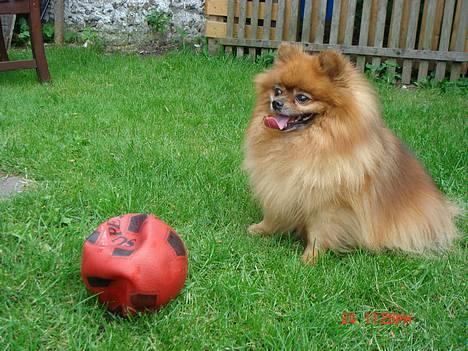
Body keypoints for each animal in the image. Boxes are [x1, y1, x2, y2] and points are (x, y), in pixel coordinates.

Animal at [243, 42, 458, 264]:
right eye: (277, 90)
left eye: (302, 98)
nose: (276, 103)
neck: (301, 142)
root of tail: (442, 210)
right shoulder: (279, 186)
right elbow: (274, 213)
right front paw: (262, 229)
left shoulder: (328, 205)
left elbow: (319, 233)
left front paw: (310, 258)